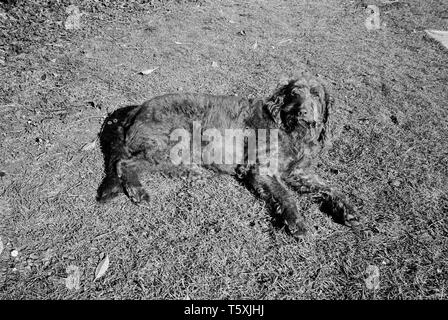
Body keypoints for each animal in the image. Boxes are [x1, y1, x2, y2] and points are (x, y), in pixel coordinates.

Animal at [96, 72, 362, 238]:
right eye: (294, 93)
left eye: (316, 94)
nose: (303, 112)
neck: (291, 130)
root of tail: (135, 111)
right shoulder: (262, 170)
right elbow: (287, 196)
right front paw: (296, 222)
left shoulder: (299, 172)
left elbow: (331, 187)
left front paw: (348, 209)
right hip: (173, 139)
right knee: (126, 163)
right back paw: (139, 191)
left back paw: (193, 172)